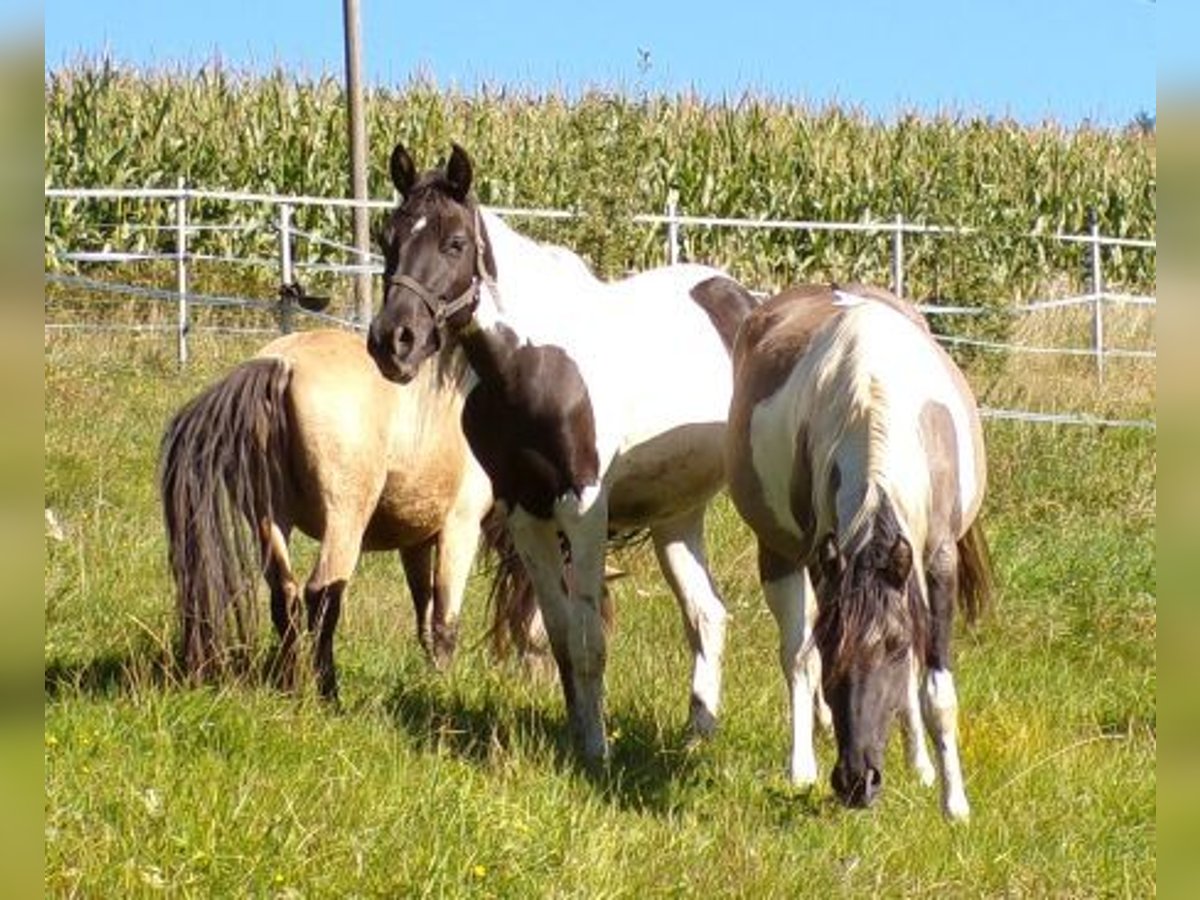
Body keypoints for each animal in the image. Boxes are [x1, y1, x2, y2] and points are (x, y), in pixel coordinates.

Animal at [160, 327, 496, 701]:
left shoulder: (415, 543)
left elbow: (423, 611)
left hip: (270, 520)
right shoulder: (460, 527)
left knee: (285, 595)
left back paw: (291, 683)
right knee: (321, 595)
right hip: (344, 522)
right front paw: (444, 682)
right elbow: (445, 620)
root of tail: (283, 364)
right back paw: (330, 694)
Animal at [366, 142, 760, 762]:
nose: (393, 341)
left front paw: (596, 750)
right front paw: (577, 735)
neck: (533, 365)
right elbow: (557, 635)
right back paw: (698, 733)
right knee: (706, 615)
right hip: (677, 515)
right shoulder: (525, 514)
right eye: (389, 238)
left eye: (455, 242)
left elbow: (589, 637)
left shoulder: (583, 508)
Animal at [725, 283, 992, 820]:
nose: (856, 782)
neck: (873, 404)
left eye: (891, 646)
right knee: (794, 655)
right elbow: (807, 656)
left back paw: (920, 764)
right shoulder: (825, 561)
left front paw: (953, 802)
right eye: (834, 647)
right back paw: (803, 763)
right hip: (779, 555)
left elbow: (934, 690)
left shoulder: (936, 564)